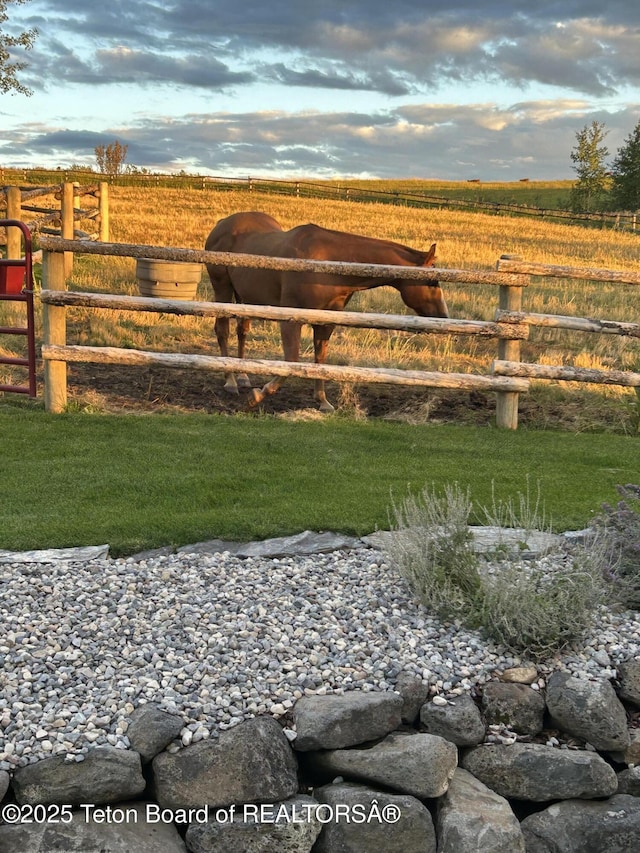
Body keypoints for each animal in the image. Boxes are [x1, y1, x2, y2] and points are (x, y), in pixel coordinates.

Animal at [204, 212, 444, 412]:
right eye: (432, 282)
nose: (443, 316)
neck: (329, 264)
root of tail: (222, 223)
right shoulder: (291, 320)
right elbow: (292, 361)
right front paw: (257, 396)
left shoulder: (326, 321)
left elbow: (320, 359)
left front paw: (322, 401)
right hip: (223, 289)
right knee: (222, 330)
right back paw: (230, 381)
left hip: (244, 297)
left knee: (242, 331)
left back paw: (243, 376)